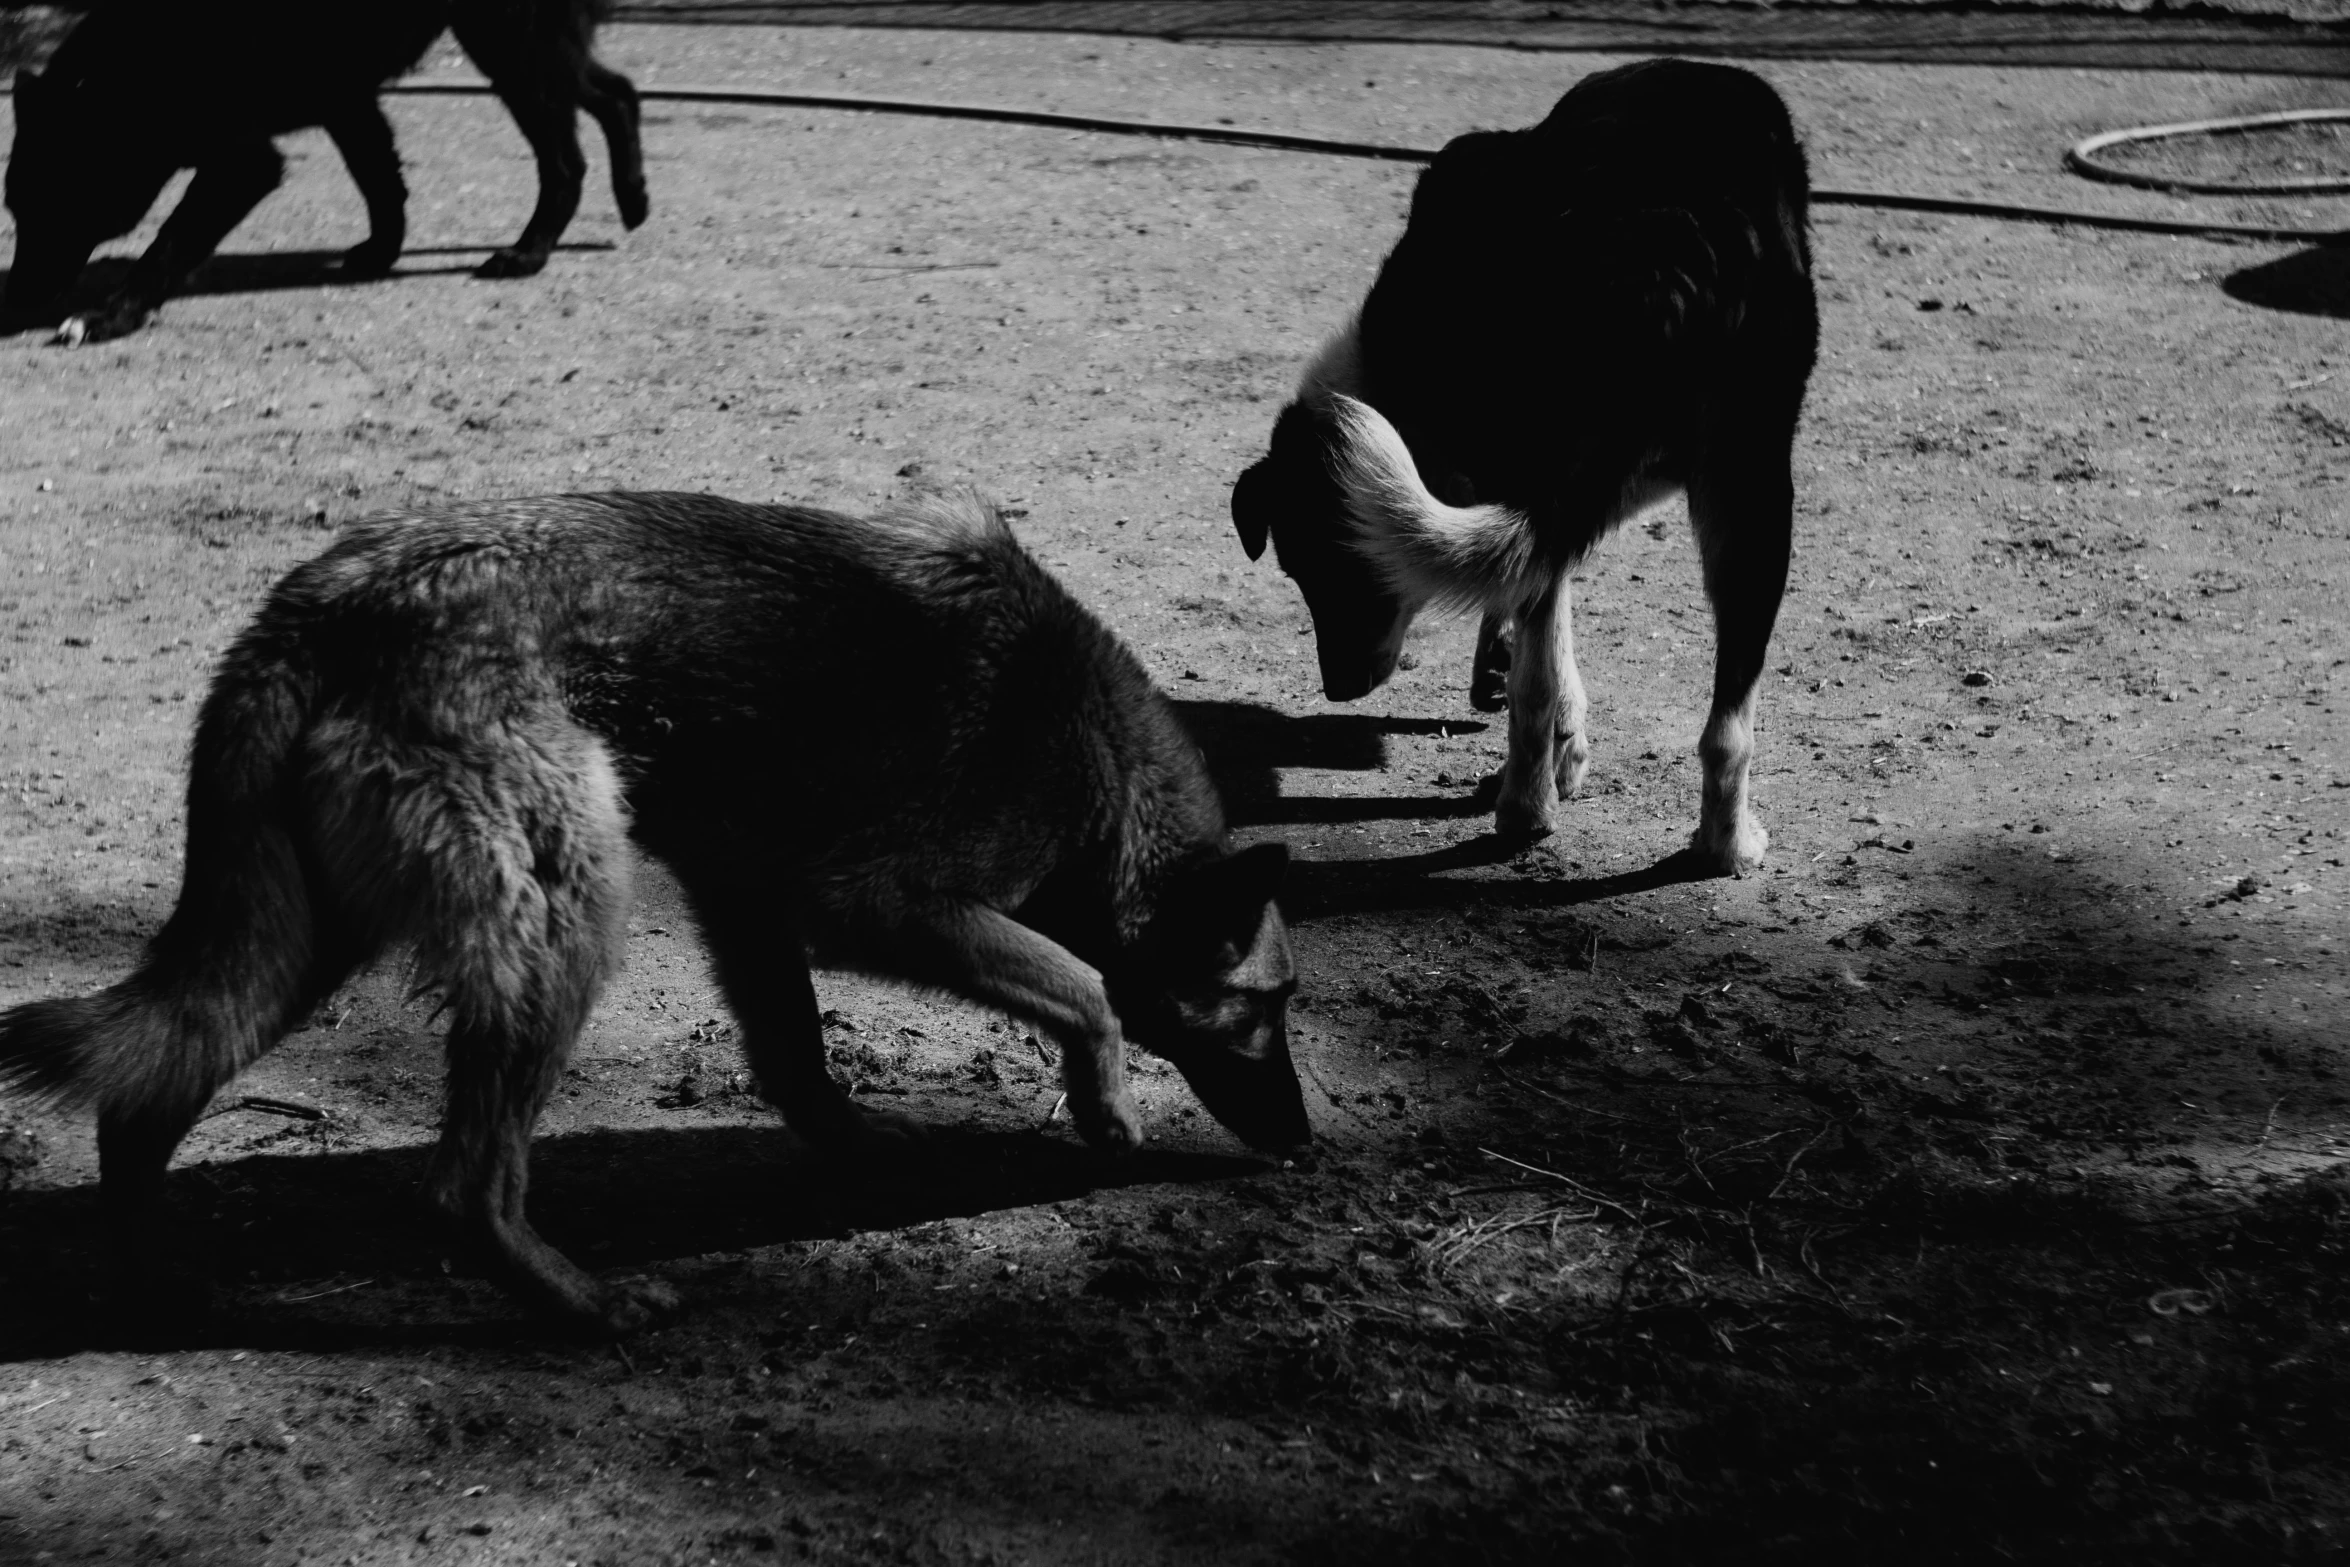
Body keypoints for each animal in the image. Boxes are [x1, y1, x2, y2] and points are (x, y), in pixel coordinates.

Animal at [0, 493, 1306, 1334]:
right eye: (1267, 1005)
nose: (1306, 1143)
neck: (1094, 767)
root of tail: (323, 606)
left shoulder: (751, 908)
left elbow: (800, 1066)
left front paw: (872, 1152)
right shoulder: (877, 902)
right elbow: (1088, 992)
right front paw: (1109, 1109)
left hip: (298, 940)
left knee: (146, 1095)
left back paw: (160, 1286)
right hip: (567, 921)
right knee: (465, 1185)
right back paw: (583, 1303)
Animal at [1231, 58, 1814, 869]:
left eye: (1323, 571)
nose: (1339, 689)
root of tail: (1674, 242)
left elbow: (1540, 638)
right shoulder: (1571, 496)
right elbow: (1543, 621)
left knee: (1570, 694)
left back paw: (1538, 810)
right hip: (1748, 489)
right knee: (1719, 723)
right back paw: (1709, 841)